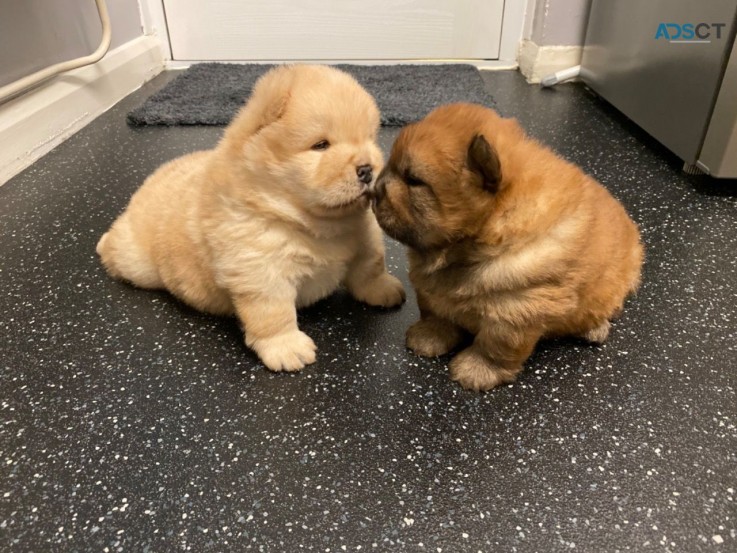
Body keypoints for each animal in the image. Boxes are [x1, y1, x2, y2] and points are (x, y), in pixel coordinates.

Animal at [95, 66, 406, 376]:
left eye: (369, 139)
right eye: (321, 145)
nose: (367, 169)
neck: (317, 225)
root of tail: (148, 182)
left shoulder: (364, 238)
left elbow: (370, 268)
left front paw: (386, 290)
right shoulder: (261, 271)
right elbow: (274, 315)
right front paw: (288, 349)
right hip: (138, 264)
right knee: (117, 247)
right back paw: (103, 242)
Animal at [370, 101, 640, 390]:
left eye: (413, 180)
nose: (373, 191)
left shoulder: (516, 310)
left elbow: (496, 347)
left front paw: (476, 371)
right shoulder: (434, 291)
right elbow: (435, 314)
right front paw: (426, 338)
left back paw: (595, 328)